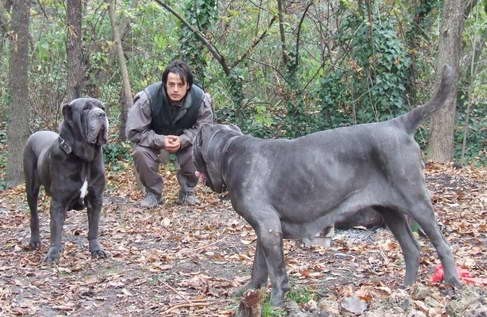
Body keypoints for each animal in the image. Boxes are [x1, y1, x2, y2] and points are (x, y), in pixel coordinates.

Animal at [23, 97, 108, 262]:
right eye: (85, 109)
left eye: (102, 107)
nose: (102, 114)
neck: (83, 159)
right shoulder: (58, 201)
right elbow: (55, 228)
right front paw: (53, 253)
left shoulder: (96, 198)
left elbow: (93, 227)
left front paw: (96, 249)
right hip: (31, 188)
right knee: (34, 215)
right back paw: (34, 241)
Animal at [193, 65, 462, 304]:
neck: (229, 151)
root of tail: (399, 123)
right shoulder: (265, 228)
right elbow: (259, 265)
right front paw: (249, 290)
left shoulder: (268, 226)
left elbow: (276, 270)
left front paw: (276, 300)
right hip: (390, 211)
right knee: (412, 249)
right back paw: (406, 288)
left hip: (416, 201)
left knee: (443, 245)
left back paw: (452, 283)